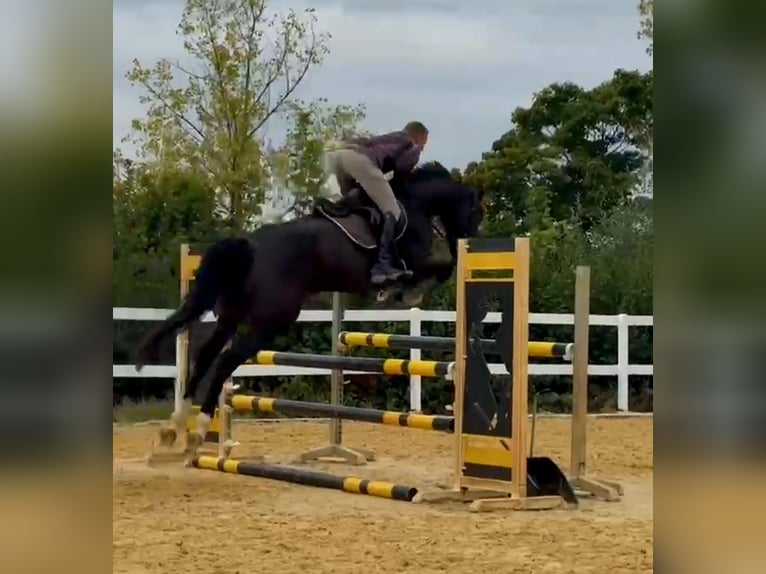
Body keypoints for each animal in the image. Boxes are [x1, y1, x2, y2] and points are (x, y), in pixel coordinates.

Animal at [134, 161, 484, 455]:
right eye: (476, 212)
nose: (468, 242)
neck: (415, 206)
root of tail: (252, 245)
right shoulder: (418, 262)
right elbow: (442, 268)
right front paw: (404, 294)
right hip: (270, 322)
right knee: (223, 362)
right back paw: (197, 430)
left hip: (231, 316)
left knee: (206, 356)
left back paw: (175, 426)